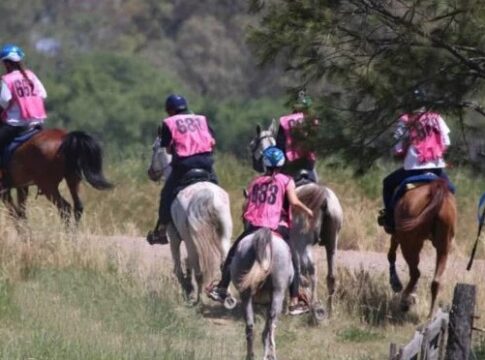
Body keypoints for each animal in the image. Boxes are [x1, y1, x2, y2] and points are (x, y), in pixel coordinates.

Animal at [147, 139, 233, 302]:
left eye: (154, 148)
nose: (151, 172)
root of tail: (206, 196)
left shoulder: (174, 237)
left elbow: (178, 267)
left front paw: (187, 287)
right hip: (224, 236)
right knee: (223, 263)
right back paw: (222, 294)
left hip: (190, 240)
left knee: (198, 268)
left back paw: (197, 298)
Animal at [250, 121, 344, 318]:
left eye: (252, 144)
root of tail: (325, 199)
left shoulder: (293, 245)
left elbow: (295, 271)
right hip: (332, 243)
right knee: (330, 275)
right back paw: (329, 311)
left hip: (303, 244)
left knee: (311, 270)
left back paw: (313, 308)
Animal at [386, 178, 454, 318]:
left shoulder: (398, 236)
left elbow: (391, 255)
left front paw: (396, 283)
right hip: (443, 246)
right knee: (435, 280)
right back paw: (430, 314)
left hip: (408, 242)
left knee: (415, 273)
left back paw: (404, 301)